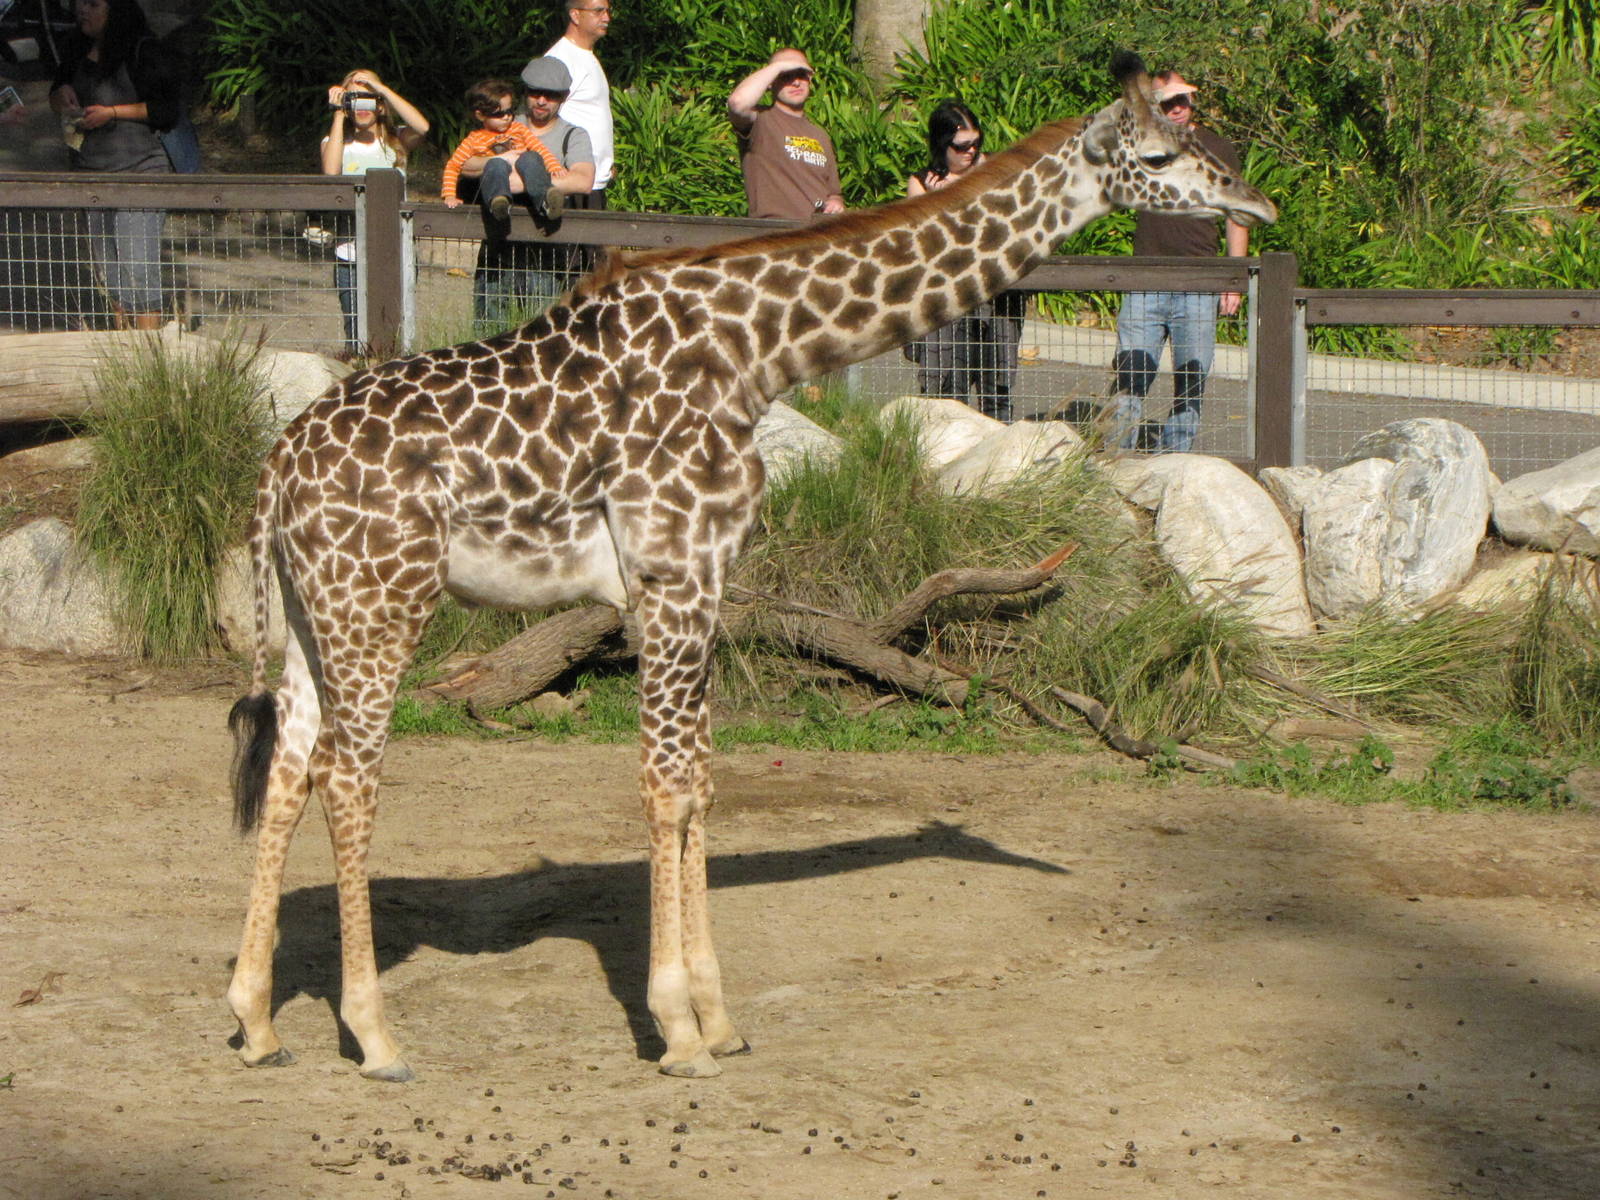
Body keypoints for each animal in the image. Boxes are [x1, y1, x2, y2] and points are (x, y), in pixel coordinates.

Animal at [225, 51, 1276, 1082]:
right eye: (1161, 152)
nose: (1255, 203)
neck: (757, 350)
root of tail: (275, 472)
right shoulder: (671, 570)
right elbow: (662, 783)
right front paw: (676, 1031)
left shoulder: (704, 578)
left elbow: (699, 780)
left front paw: (720, 1019)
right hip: (383, 600)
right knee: (348, 774)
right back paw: (376, 1038)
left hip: (315, 614)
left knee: (288, 767)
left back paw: (257, 1019)